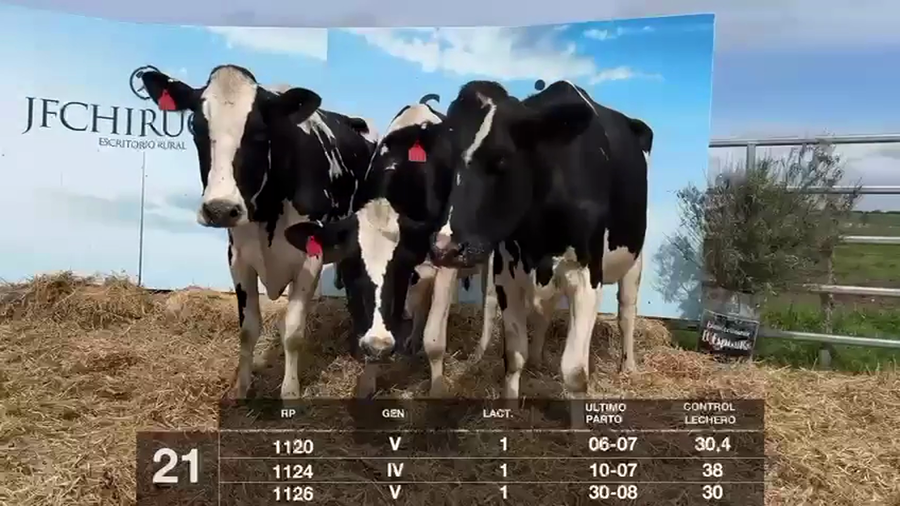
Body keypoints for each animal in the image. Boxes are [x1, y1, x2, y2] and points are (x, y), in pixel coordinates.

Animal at [139, 64, 378, 400]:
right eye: (196, 127)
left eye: (259, 132)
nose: (220, 209)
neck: (268, 209)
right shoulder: (238, 258)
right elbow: (248, 328)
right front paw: (241, 387)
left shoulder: (309, 259)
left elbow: (293, 331)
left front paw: (290, 393)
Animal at [284, 94, 499, 397]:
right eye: (349, 270)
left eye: (398, 270)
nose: (379, 344)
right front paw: (367, 383)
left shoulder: (443, 259)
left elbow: (435, 339)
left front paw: (437, 389)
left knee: (489, 298)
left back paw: (481, 352)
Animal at [429, 79, 653, 425]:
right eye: (445, 161)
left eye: (502, 159)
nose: (445, 247)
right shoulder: (507, 275)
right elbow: (513, 355)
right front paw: (509, 412)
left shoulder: (587, 278)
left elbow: (575, 372)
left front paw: (578, 430)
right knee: (544, 314)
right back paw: (537, 358)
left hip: (634, 258)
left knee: (627, 311)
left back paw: (628, 366)